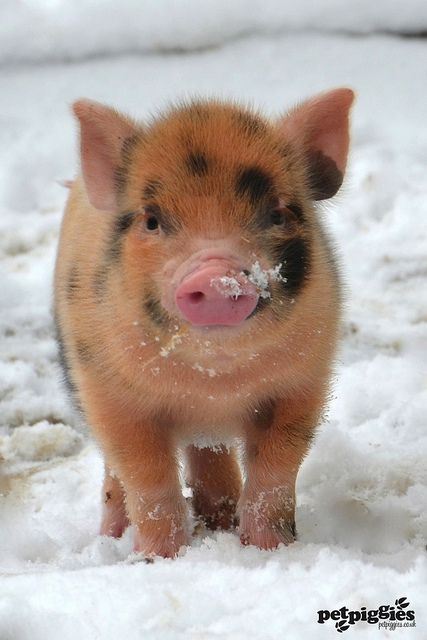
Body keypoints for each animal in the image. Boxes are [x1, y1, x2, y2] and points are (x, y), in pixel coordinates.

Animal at [53, 87, 354, 556]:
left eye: (278, 213)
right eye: (151, 219)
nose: (217, 277)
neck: (213, 382)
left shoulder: (304, 383)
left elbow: (275, 470)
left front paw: (270, 551)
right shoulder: (107, 392)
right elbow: (148, 479)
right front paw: (158, 559)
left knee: (208, 450)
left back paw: (221, 521)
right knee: (117, 473)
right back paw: (112, 537)